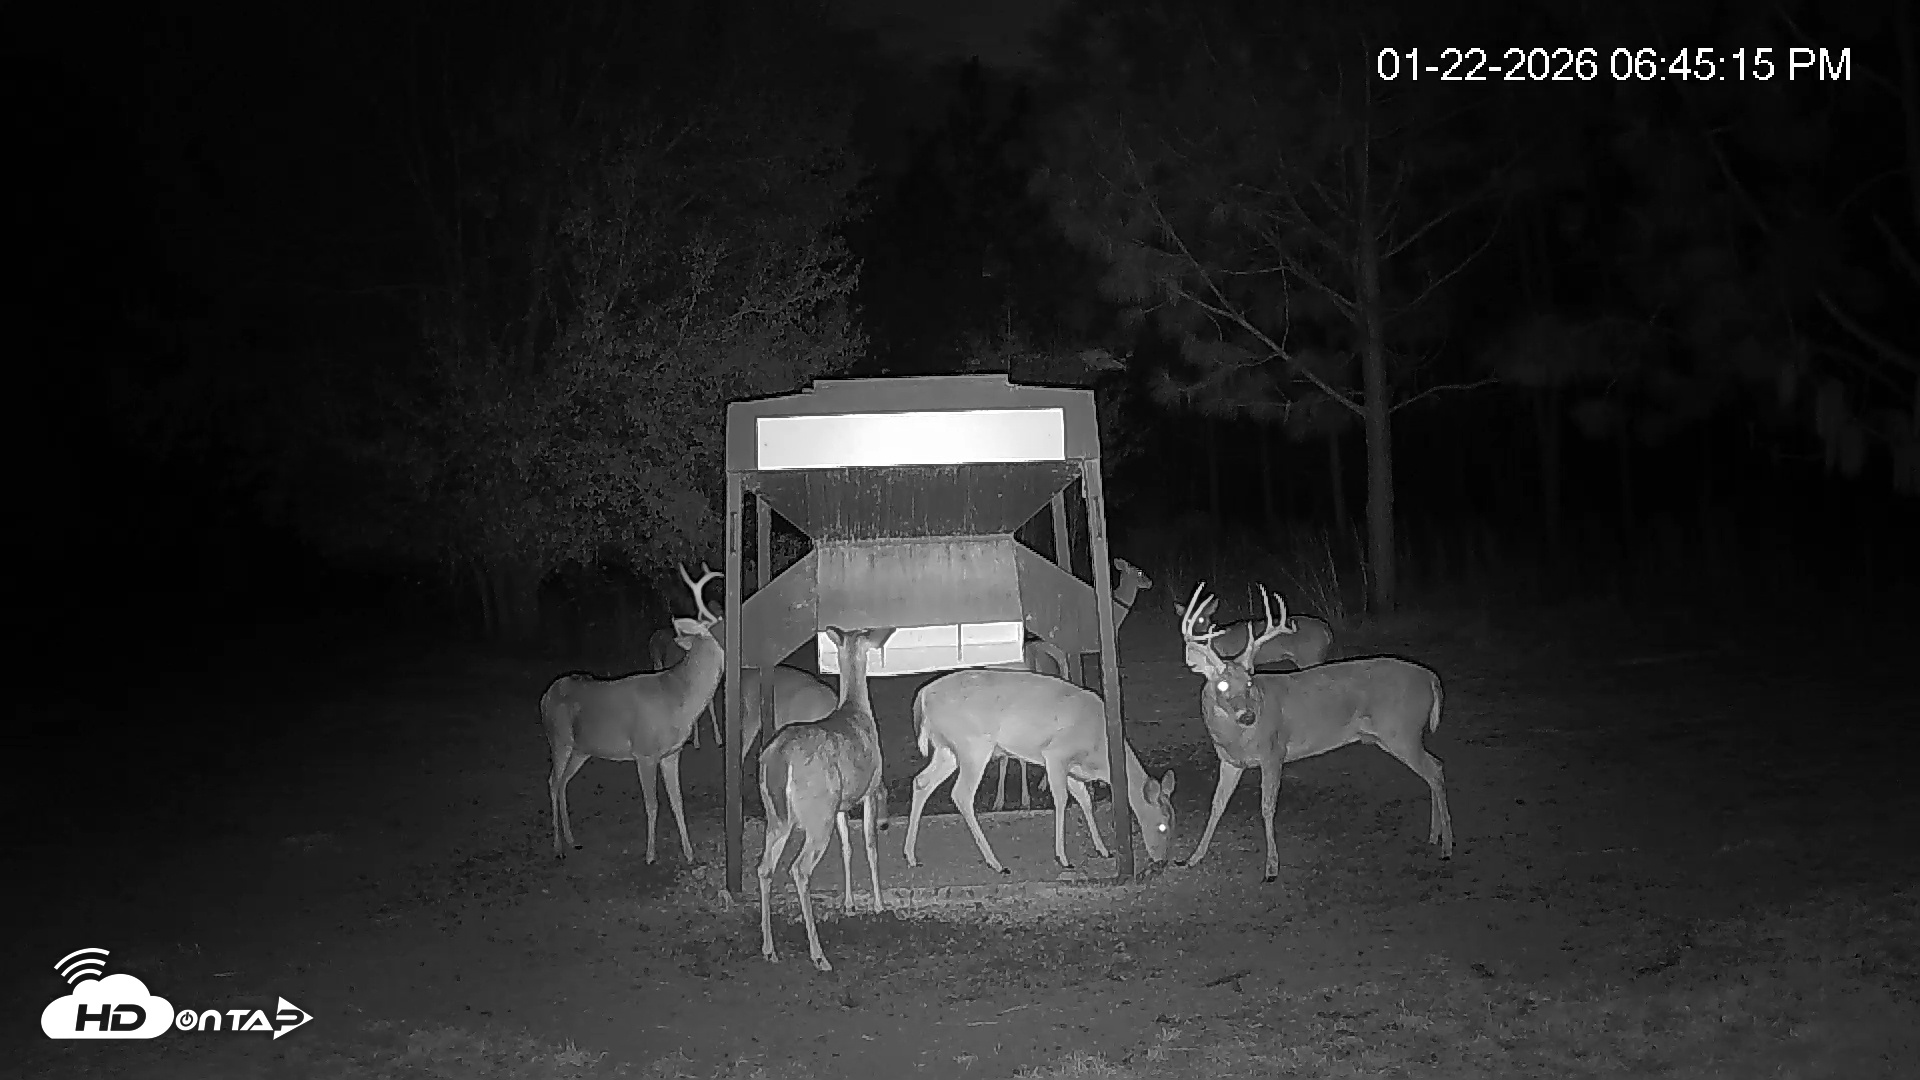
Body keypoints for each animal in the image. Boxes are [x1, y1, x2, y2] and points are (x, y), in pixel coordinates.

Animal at [541, 565, 723, 863]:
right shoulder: (644, 752)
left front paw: (689, 853)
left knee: (563, 781)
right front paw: (650, 855)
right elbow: (652, 804)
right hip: (558, 739)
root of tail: (546, 696)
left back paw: (571, 840)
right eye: (722, 622)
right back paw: (557, 847)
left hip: (581, 748)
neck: (678, 701)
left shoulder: (672, 753)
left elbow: (678, 802)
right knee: (552, 781)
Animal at [757, 626, 893, 973]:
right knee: (799, 869)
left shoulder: (841, 804)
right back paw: (819, 955)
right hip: (817, 814)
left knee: (764, 867)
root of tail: (778, 758)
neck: (856, 710)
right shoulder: (870, 788)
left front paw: (849, 904)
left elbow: (847, 846)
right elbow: (870, 844)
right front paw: (878, 904)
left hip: (778, 816)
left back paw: (769, 949)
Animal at [904, 668, 1176, 874]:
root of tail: (922, 696)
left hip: (947, 749)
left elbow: (1085, 800)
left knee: (922, 781)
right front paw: (1063, 857)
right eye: (1162, 826)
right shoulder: (1056, 754)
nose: (1162, 861)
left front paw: (1103, 849)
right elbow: (1062, 800)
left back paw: (910, 854)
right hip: (973, 745)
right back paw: (995, 862)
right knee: (961, 794)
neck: (1101, 756)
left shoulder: (1072, 769)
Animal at [1178, 582, 1453, 882]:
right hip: (1403, 735)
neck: (1236, 737)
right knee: (1435, 766)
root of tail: (1432, 678)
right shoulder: (1230, 761)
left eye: (1250, 680)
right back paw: (1434, 836)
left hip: (1401, 731)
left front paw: (1271, 868)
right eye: (1223, 685)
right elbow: (1217, 804)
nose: (1248, 716)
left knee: (1435, 770)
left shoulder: (1273, 752)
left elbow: (1267, 807)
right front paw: (1192, 858)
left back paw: (1447, 846)